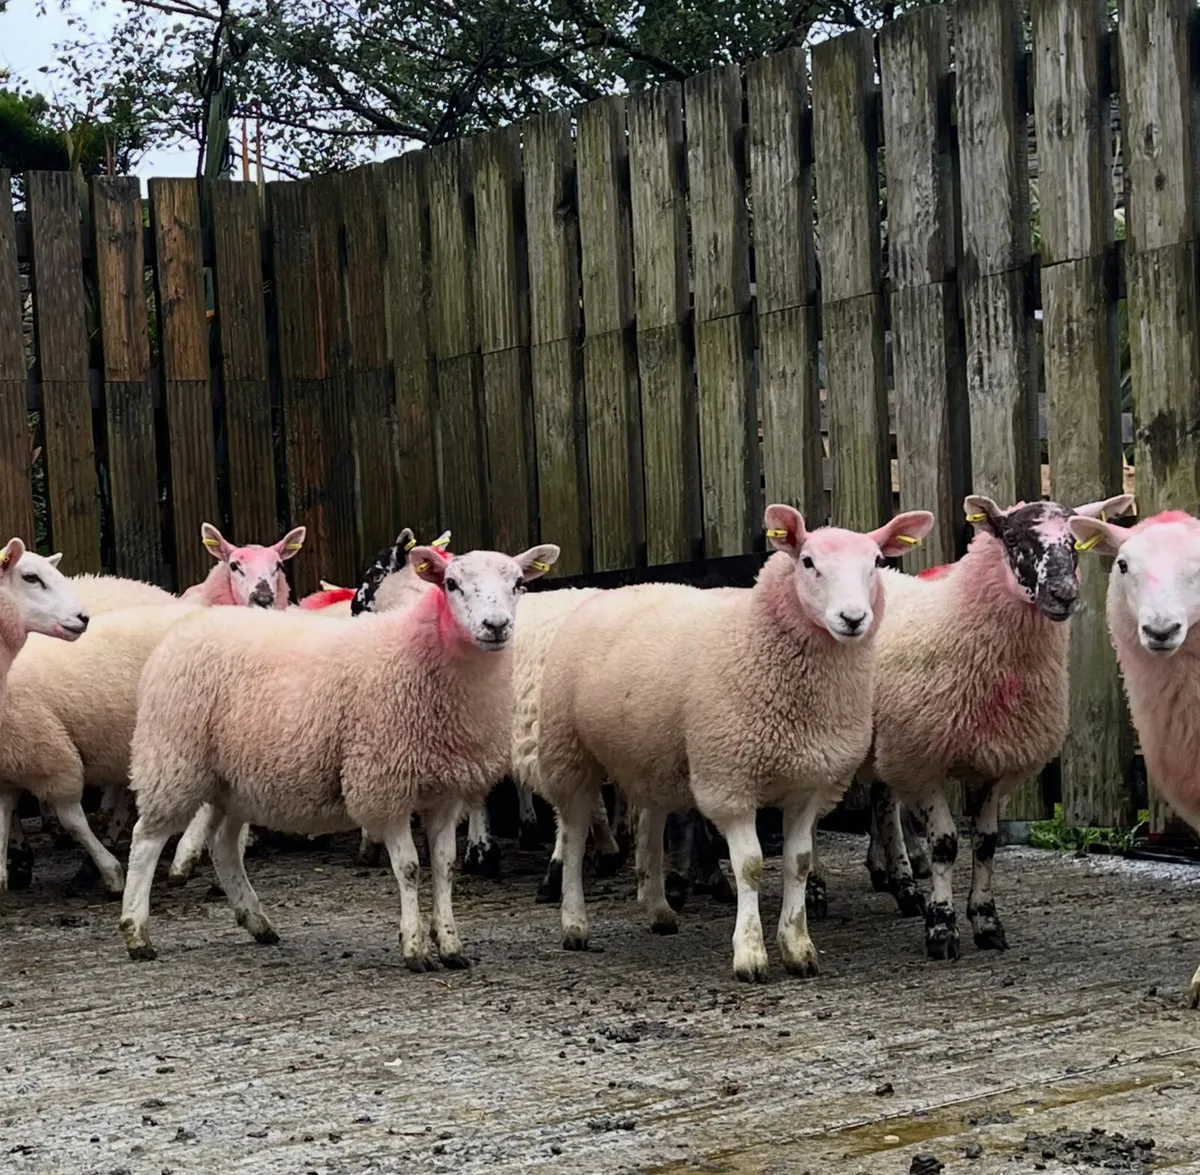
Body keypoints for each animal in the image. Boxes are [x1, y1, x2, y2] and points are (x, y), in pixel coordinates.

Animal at [119, 541, 560, 965]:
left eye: (518, 583)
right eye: (451, 584)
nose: (496, 626)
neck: (421, 653)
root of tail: (187, 628)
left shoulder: (446, 791)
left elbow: (444, 865)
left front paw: (451, 945)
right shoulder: (384, 783)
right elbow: (409, 868)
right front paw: (415, 948)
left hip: (232, 779)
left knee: (224, 846)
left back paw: (257, 922)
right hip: (174, 759)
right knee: (146, 840)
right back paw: (137, 932)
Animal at [535, 504, 935, 981]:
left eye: (876, 561)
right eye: (808, 562)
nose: (853, 619)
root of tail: (612, 589)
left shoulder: (810, 785)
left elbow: (799, 862)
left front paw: (798, 947)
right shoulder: (730, 780)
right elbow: (751, 865)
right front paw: (750, 954)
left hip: (650, 757)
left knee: (648, 824)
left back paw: (658, 911)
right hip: (568, 750)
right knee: (574, 835)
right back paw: (574, 924)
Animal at [865, 493, 1134, 960]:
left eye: (1075, 544)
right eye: (1010, 537)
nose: (1064, 595)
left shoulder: (995, 761)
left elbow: (986, 843)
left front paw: (986, 922)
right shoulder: (925, 760)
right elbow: (945, 844)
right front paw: (942, 928)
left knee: (883, 805)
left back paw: (903, 888)